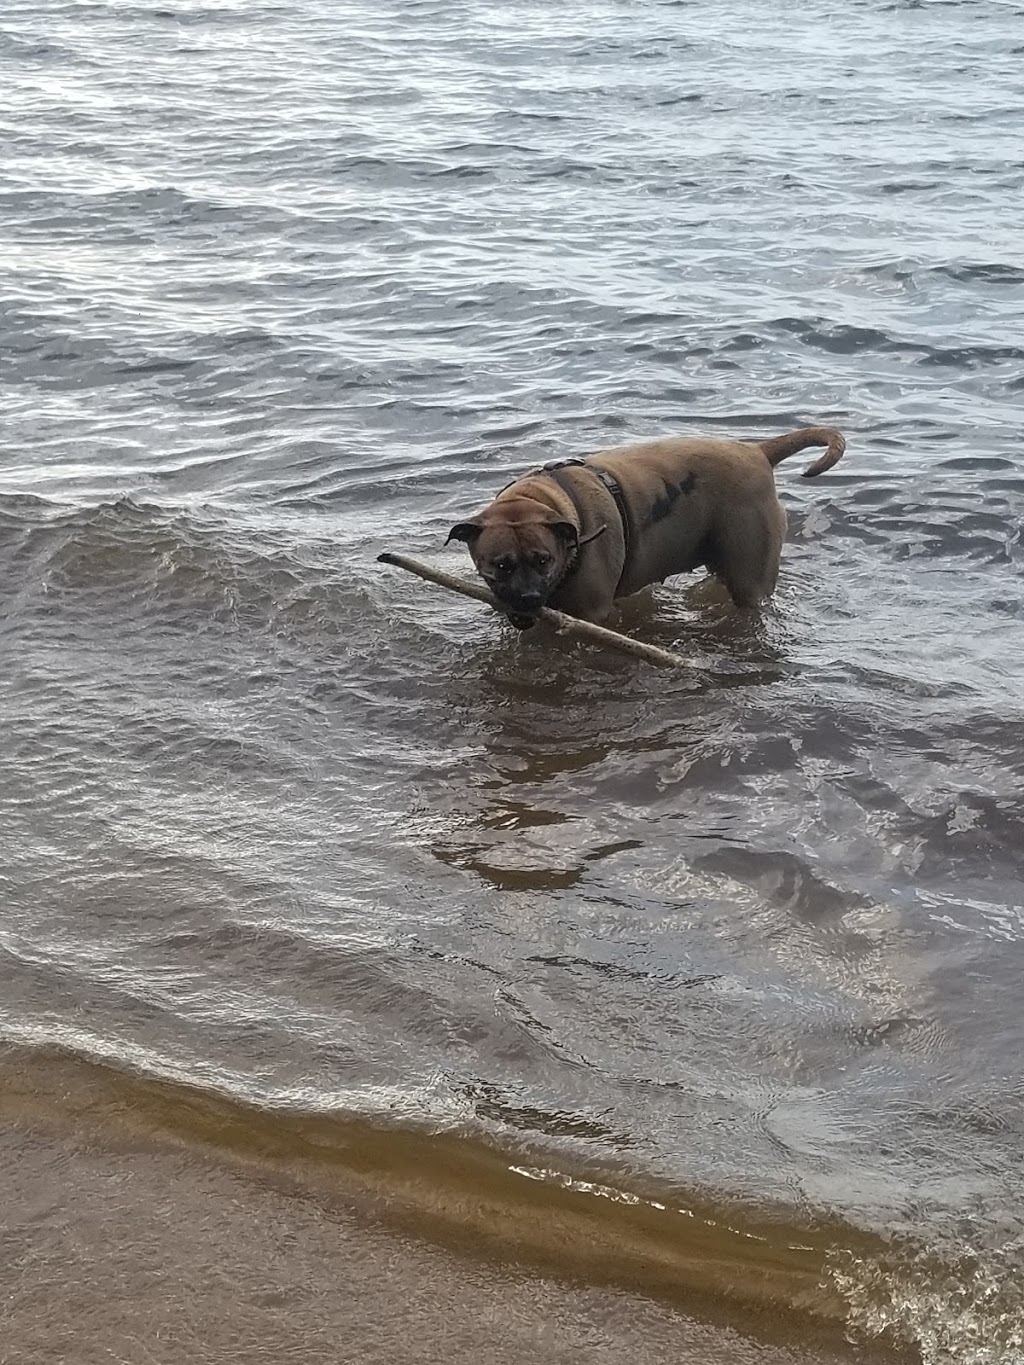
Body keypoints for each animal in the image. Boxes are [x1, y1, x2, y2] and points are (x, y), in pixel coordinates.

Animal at [447, 423, 851, 625]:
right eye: (500, 565)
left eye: (544, 560)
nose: (529, 599)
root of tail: (757, 451)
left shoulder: (593, 613)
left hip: (751, 572)